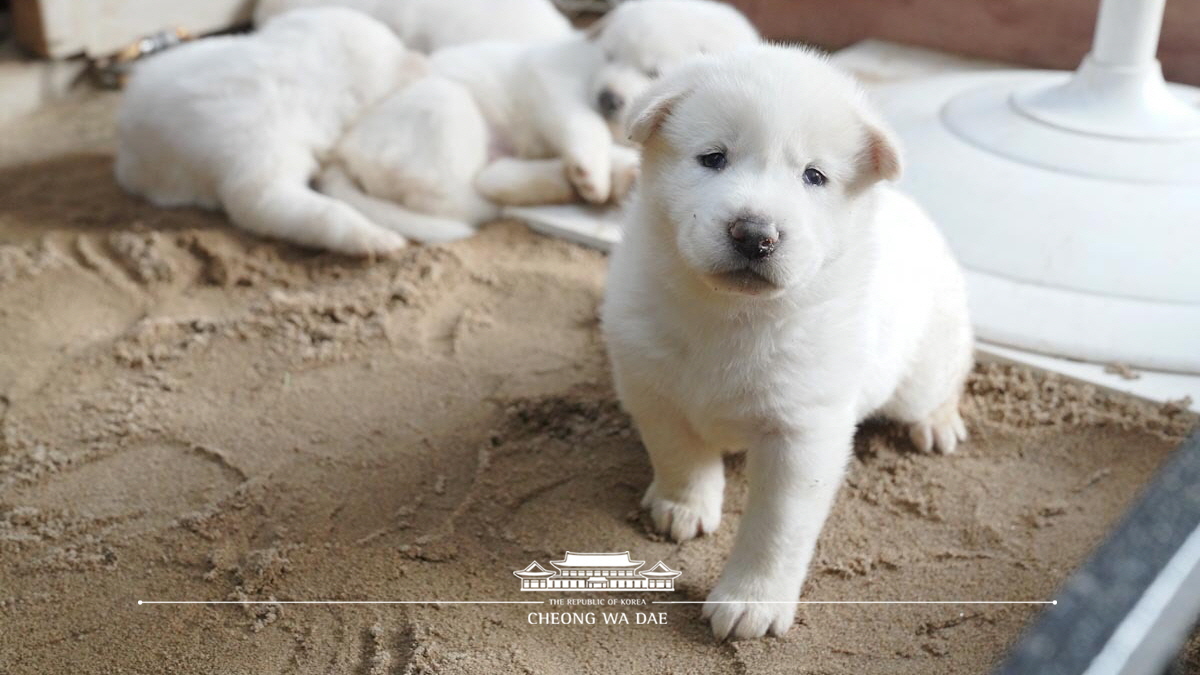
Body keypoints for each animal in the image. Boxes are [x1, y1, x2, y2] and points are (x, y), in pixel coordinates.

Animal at [600, 44, 974, 638]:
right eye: (713, 158)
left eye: (814, 175)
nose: (755, 235)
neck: (732, 316)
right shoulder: (650, 383)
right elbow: (679, 453)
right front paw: (683, 506)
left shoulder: (802, 431)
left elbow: (776, 526)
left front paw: (750, 601)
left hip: (921, 363)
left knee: (948, 375)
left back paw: (938, 422)